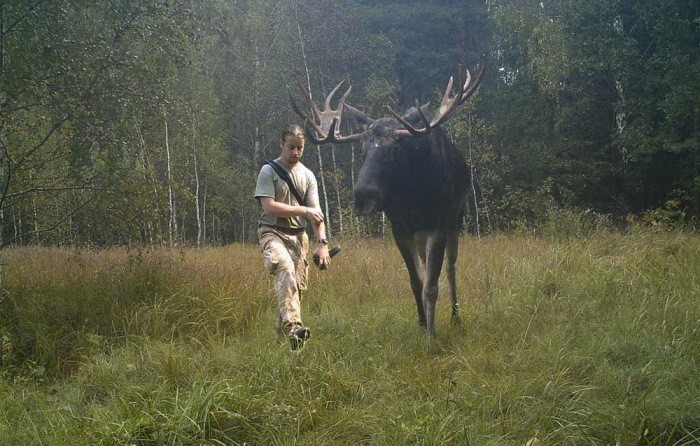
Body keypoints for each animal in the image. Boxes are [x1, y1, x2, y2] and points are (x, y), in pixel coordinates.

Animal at [288, 60, 484, 338]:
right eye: (362, 148)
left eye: (397, 147)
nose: (362, 195)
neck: (412, 199)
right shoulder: (399, 227)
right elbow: (416, 281)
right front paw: (422, 322)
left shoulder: (438, 222)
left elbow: (432, 285)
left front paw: (431, 334)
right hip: (422, 231)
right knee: (426, 265)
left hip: (456, 218)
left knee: (451, 267)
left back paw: (455, 316)